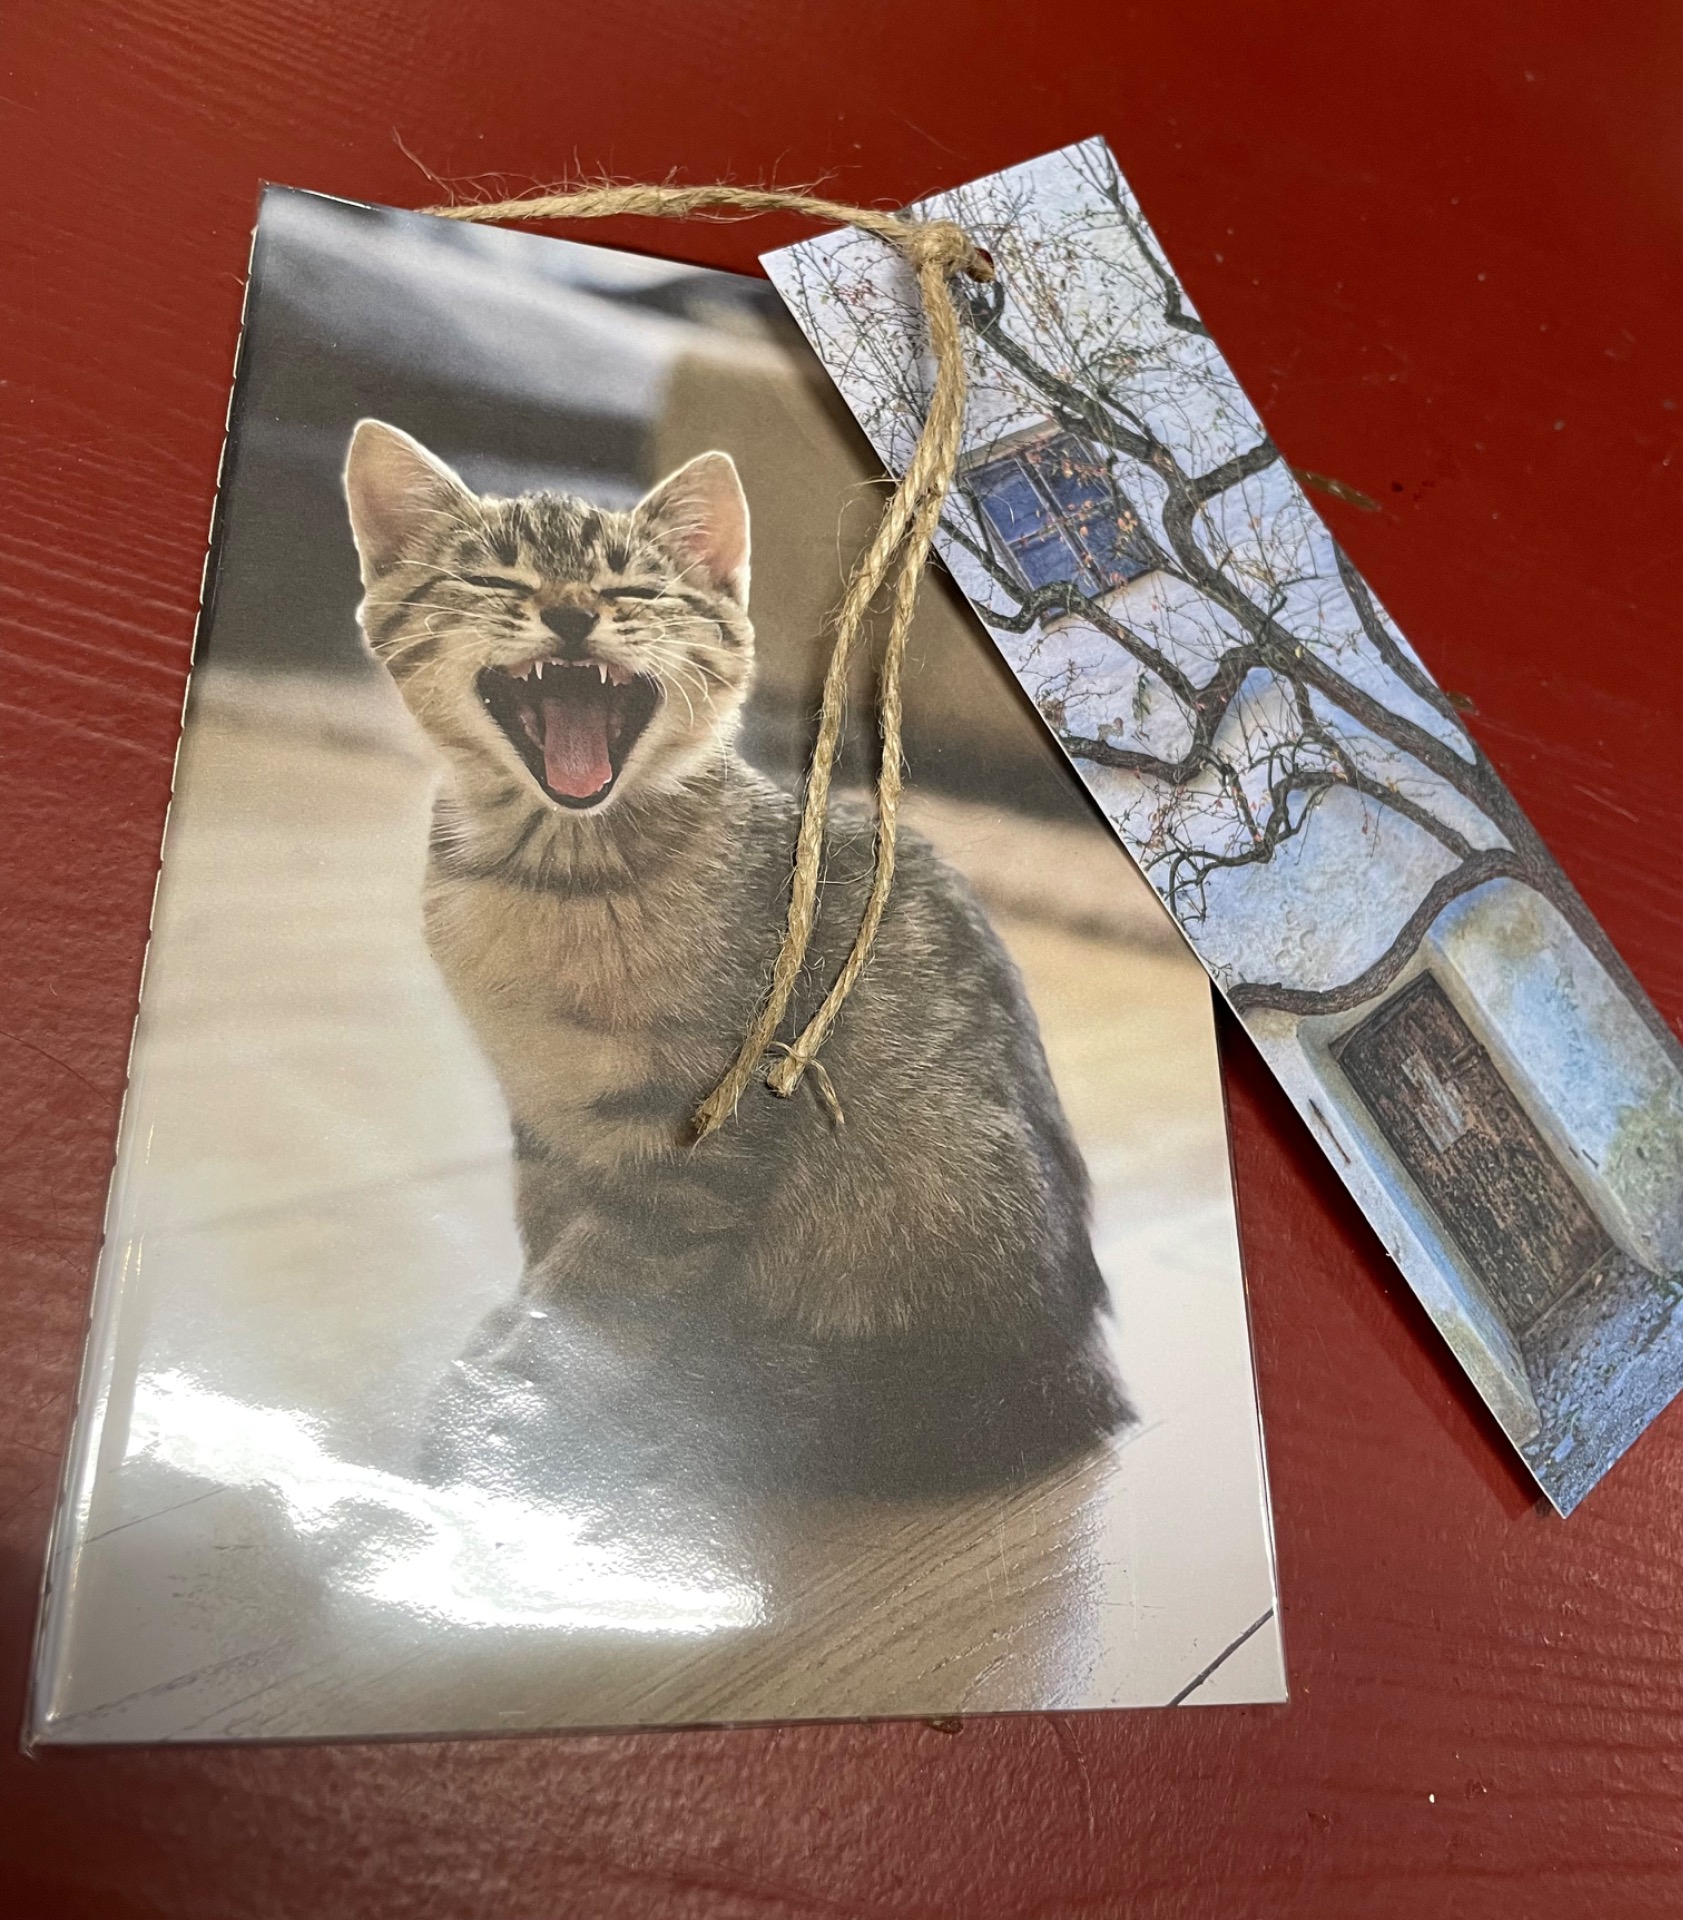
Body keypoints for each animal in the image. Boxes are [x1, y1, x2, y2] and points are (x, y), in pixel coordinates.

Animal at [343, 418, 1131, 1496]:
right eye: (496, 577)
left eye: (635, 589)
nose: (571, 612)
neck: (553, 876)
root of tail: (1072, 1364)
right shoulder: (543, 1124)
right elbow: (546, 1246)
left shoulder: (692, 1148)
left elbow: (593, 1301)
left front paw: (507, 1420)